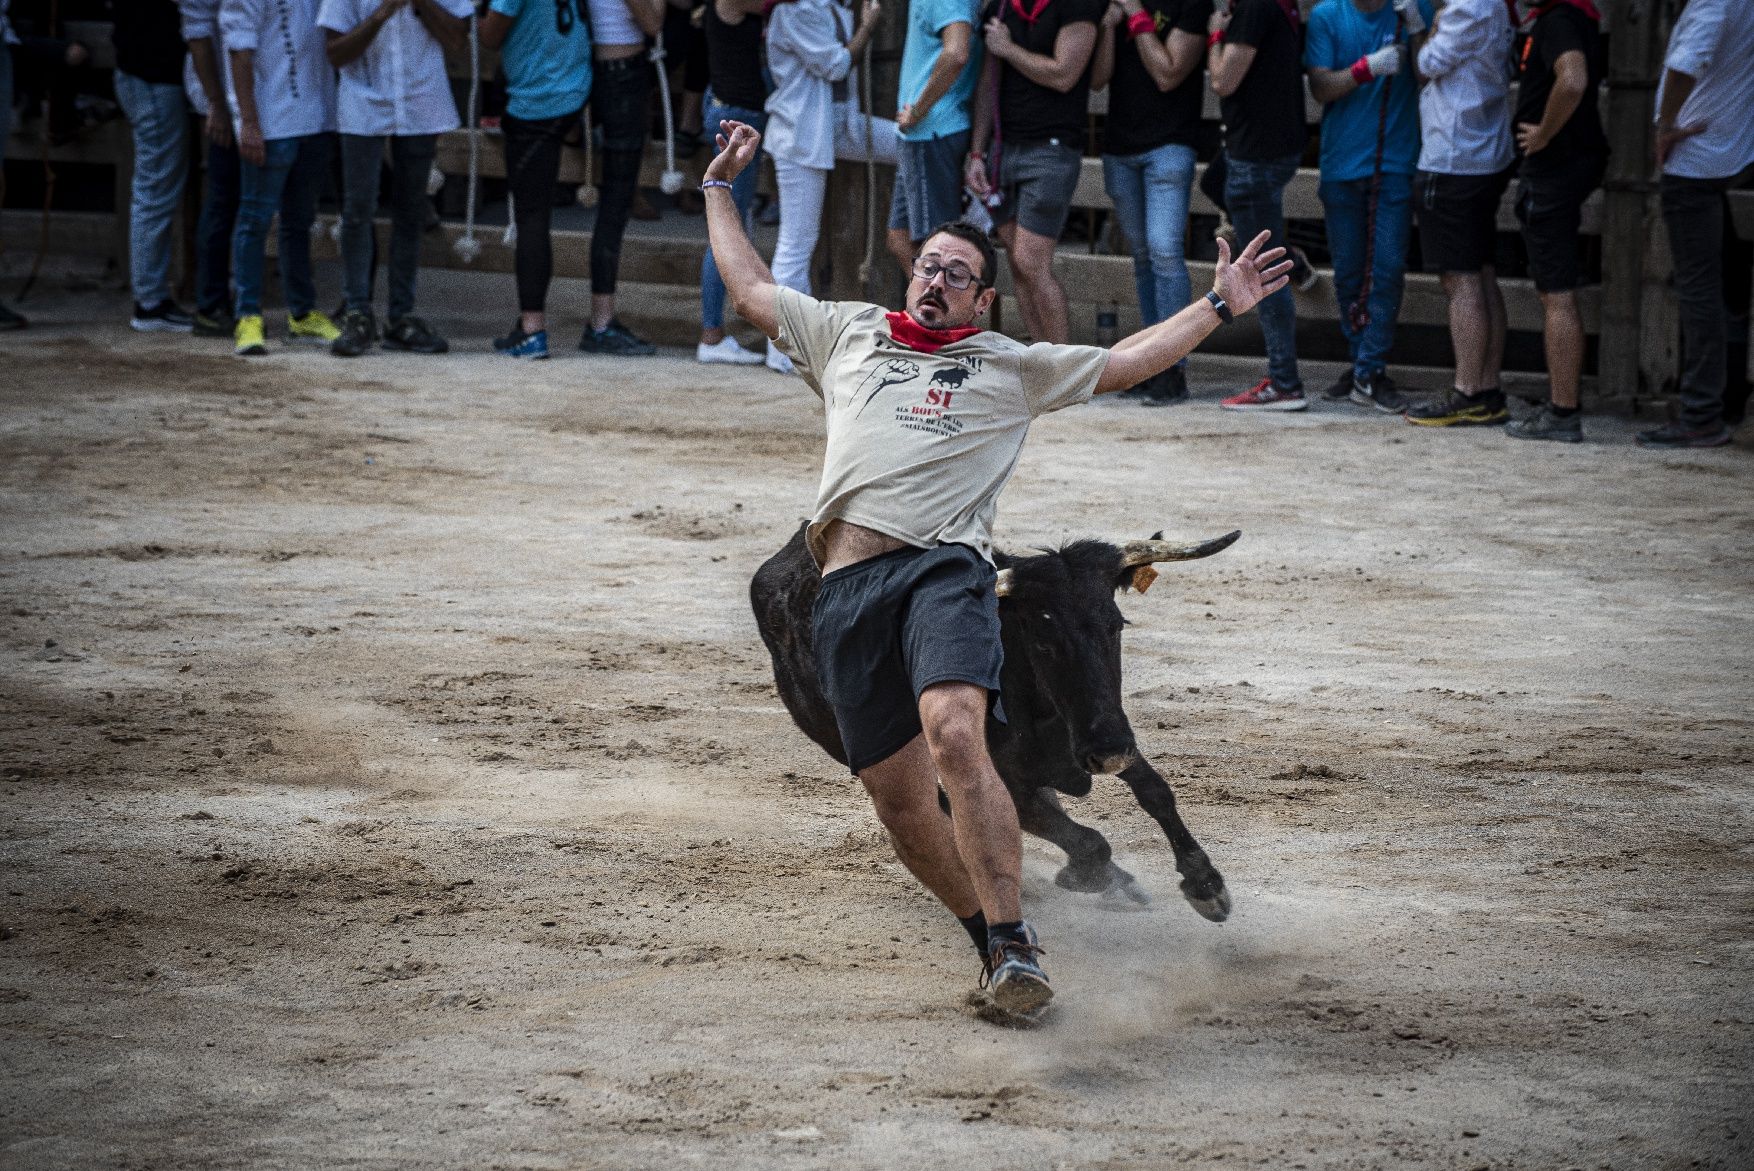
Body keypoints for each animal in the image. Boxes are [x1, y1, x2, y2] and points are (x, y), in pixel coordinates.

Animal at [750, 522, 1234, 925]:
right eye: (1043, 640)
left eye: (1114, 625)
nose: (1109, 750)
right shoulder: (1013, 782)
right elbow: (1087, 840)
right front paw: (1090, 878)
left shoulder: (1095, 734)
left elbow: (1155, 790)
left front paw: (1206, 884)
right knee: (940, 808)